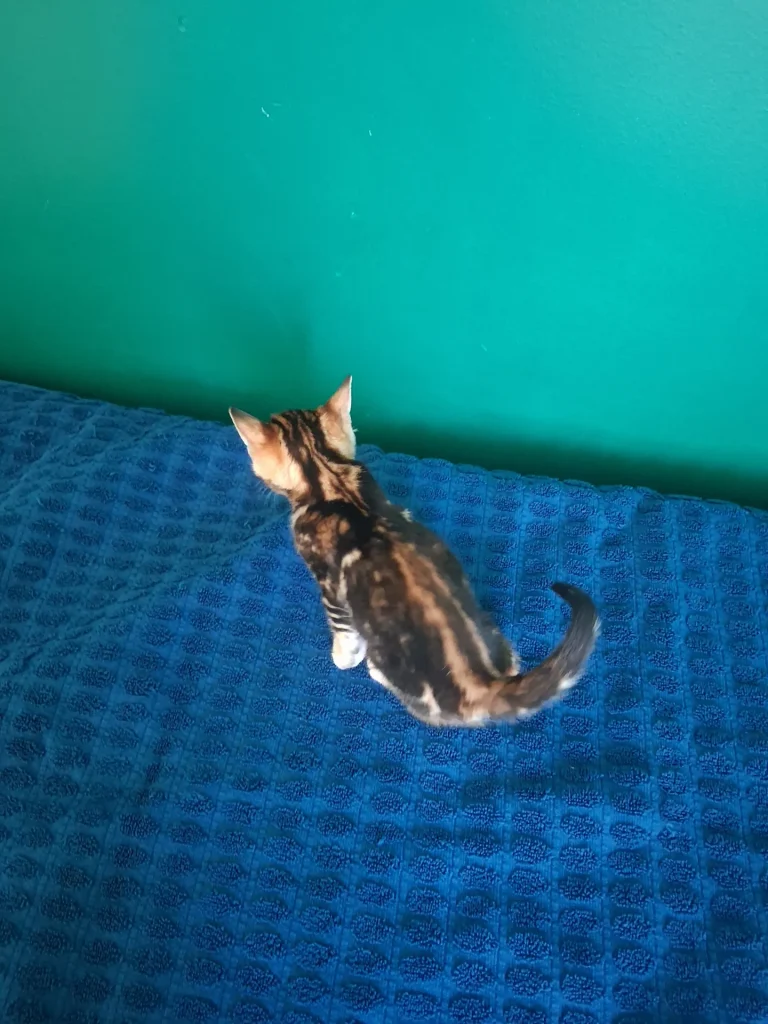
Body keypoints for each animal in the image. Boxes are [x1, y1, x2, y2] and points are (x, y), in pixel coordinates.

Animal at [230, 377, 599, 726]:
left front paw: (343, 658)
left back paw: (377, 673)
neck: (328, 473)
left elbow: (344, 634)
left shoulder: (331, 586)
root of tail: (482, 684)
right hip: (496, 637)